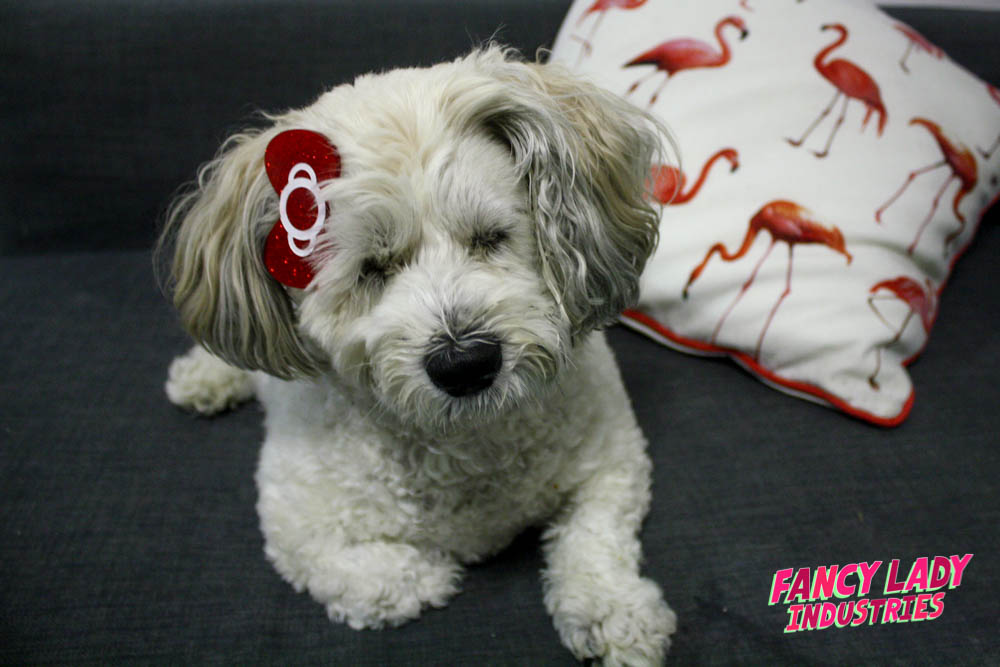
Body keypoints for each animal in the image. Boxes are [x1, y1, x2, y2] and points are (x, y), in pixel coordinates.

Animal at [162, 44, 680, 664]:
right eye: (371, 269)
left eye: (491, 236)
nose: (466, 363)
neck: (468, 439)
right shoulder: (297, 522)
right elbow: (384, 579)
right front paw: (432, 571)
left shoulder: (613, 463)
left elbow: (594, 539)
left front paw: (612, 611)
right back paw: (203, 377)